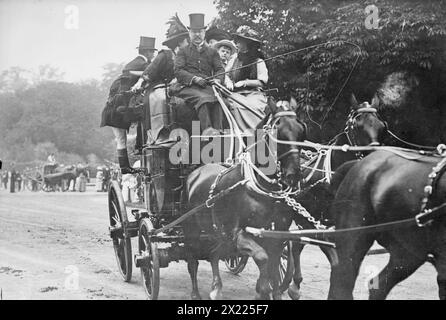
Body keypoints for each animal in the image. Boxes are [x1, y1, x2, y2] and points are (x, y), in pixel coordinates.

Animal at [183, 97, 308, 300]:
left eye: (301, 130)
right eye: (277, 130)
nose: (294, 174)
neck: (263, 189)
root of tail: (195, 174)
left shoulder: (277, 234)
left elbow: (274, 266)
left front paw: (273, 291)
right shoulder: (238, 234)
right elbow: (263, 258)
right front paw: (262, 291)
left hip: (219, 233)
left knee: (214, 253)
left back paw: (216, 288)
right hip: (192, 230)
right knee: (193, 259)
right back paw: (195, 293)